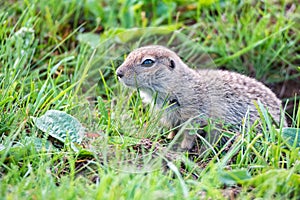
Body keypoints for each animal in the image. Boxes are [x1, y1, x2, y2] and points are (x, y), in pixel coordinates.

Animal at [115, 45, 286, 151]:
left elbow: (189, 134)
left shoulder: (194, 115)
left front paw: (183, 147)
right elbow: (173, 129)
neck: (178, 85)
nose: (118, 73)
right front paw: (168, 139)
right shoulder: (170, 117)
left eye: (148, 62)